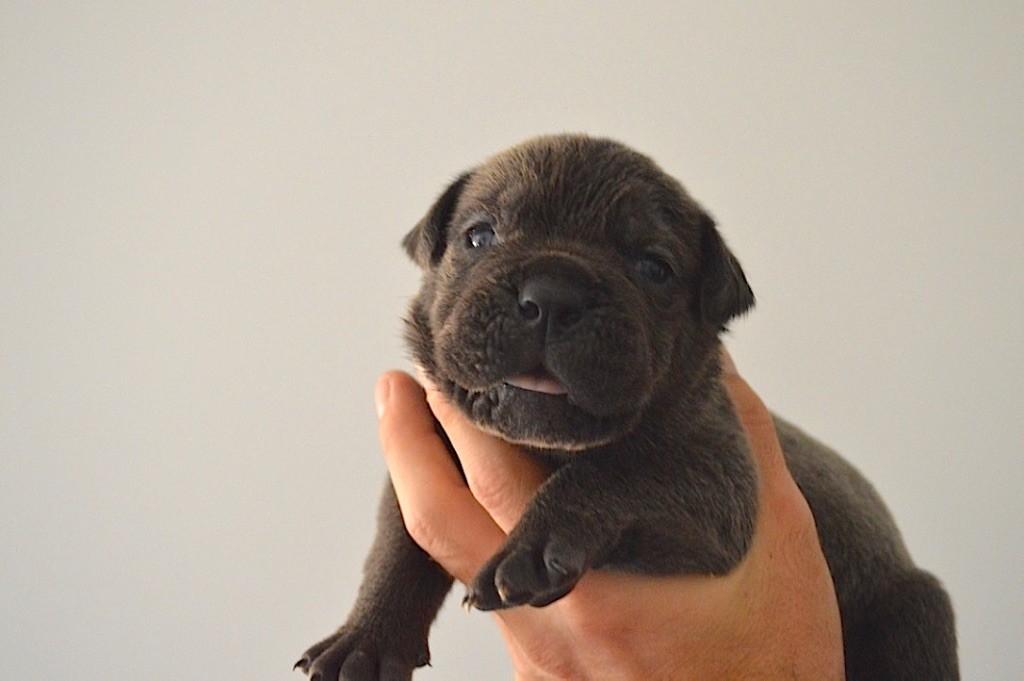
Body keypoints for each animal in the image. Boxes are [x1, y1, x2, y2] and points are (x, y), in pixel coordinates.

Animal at [299, 134, 958, 679]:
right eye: (480, 236)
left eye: (653, 268)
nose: (552, 293)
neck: (543, 446)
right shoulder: (432, 448)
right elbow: (398, 546)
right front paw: (366, 639)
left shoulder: (716, 473)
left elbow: (614, 471)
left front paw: (536, 545)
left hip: (915, 609)